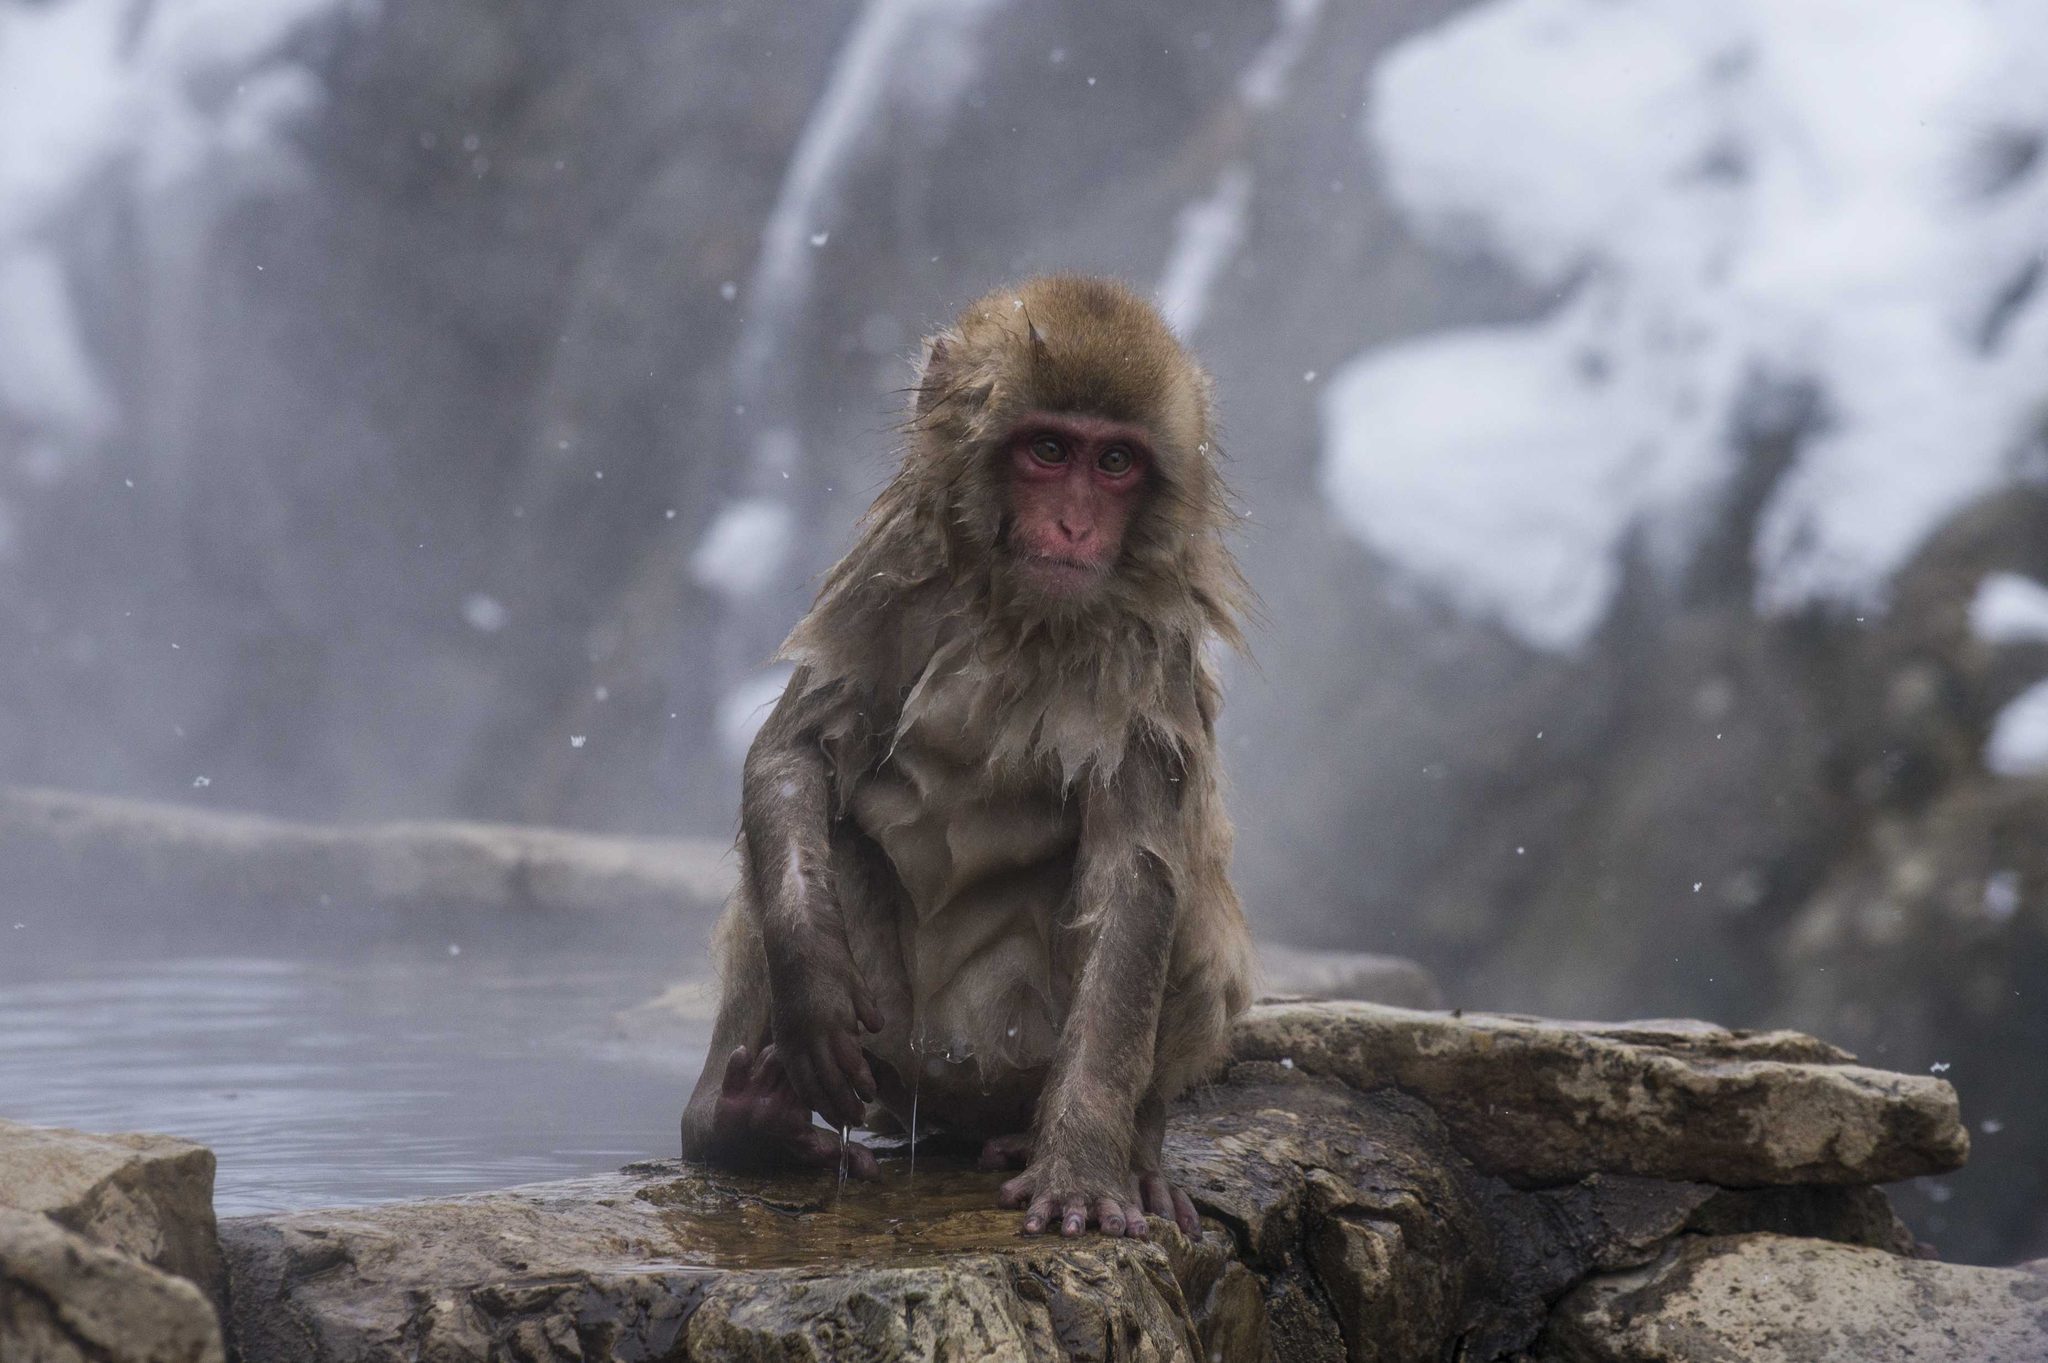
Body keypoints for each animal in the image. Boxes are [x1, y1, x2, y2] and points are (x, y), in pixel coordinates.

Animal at [680, 275, 1254, 1239]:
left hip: (1011, 1058)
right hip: (891, 1056)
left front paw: (1083, 1165)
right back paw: (737, 1121)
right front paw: (810, 986)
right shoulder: (886, 572)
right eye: (1048, 450)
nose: (1074, 526)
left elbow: (1134, 876)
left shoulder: (1149, 651)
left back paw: (1119, 1150)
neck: (1018, 612)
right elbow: (796, 750)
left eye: (1115, 463)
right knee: (820, 838)